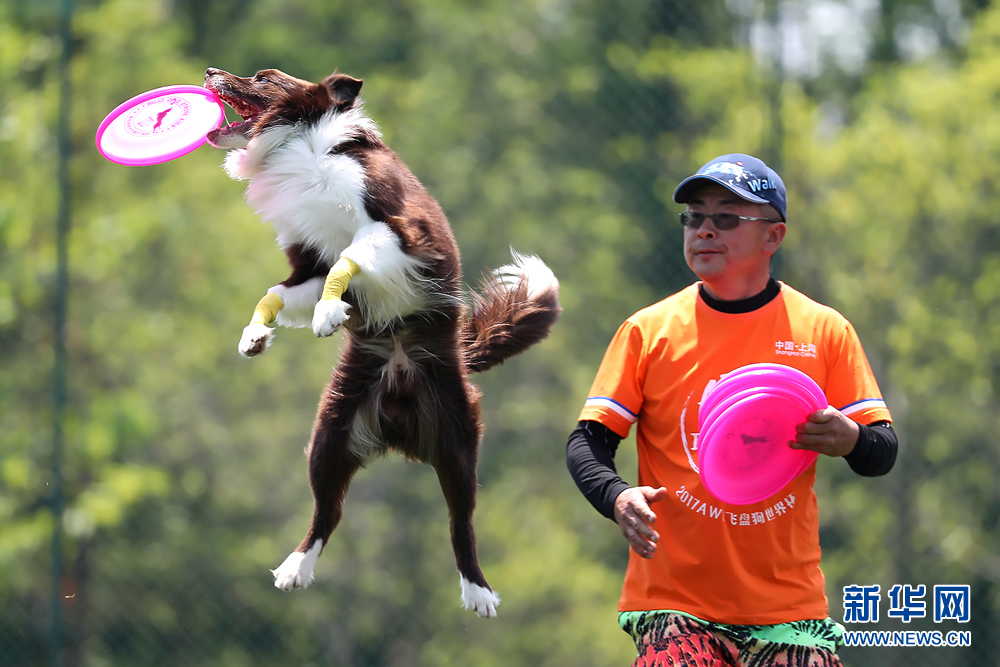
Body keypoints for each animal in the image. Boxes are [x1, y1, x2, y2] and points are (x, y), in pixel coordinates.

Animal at [203, 66, 564, 616]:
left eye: (263, 78)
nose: (209, 72)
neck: (302, 146)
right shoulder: (308, 261)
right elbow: (279, 291)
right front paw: (255, 334)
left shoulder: (398, 228)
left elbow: (350, 256)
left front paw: (329, 312)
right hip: (330, 432)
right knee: (327, 511)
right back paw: (295, 568)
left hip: (458, 446)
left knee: (461, 523)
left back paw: (478, 591)